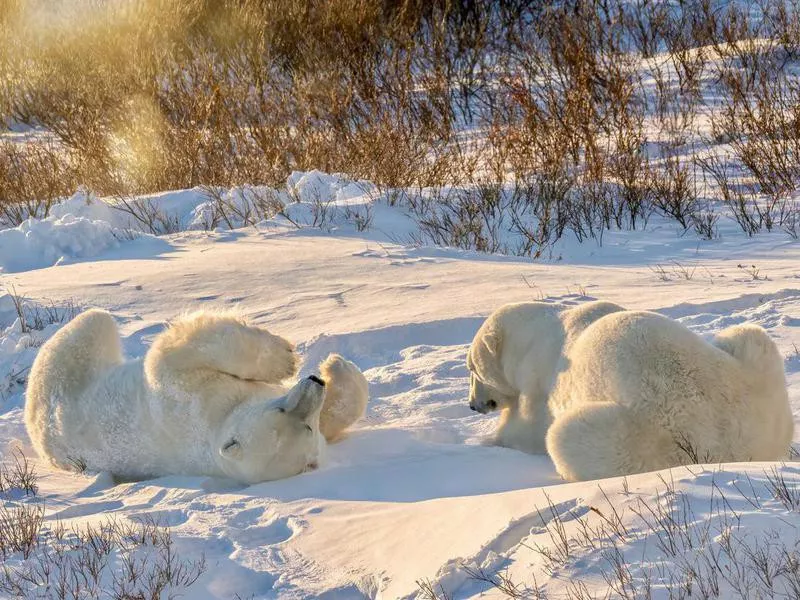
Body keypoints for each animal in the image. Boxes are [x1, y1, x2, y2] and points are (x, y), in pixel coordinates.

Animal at [24, 310, 368, 482]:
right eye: (281, 412)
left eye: (306, 427)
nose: (315, 382)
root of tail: (40, 441)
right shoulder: (191, 402)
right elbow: (168, 360)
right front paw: (288, 358)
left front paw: (334, 367)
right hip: (64, 374)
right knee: (94, 321)